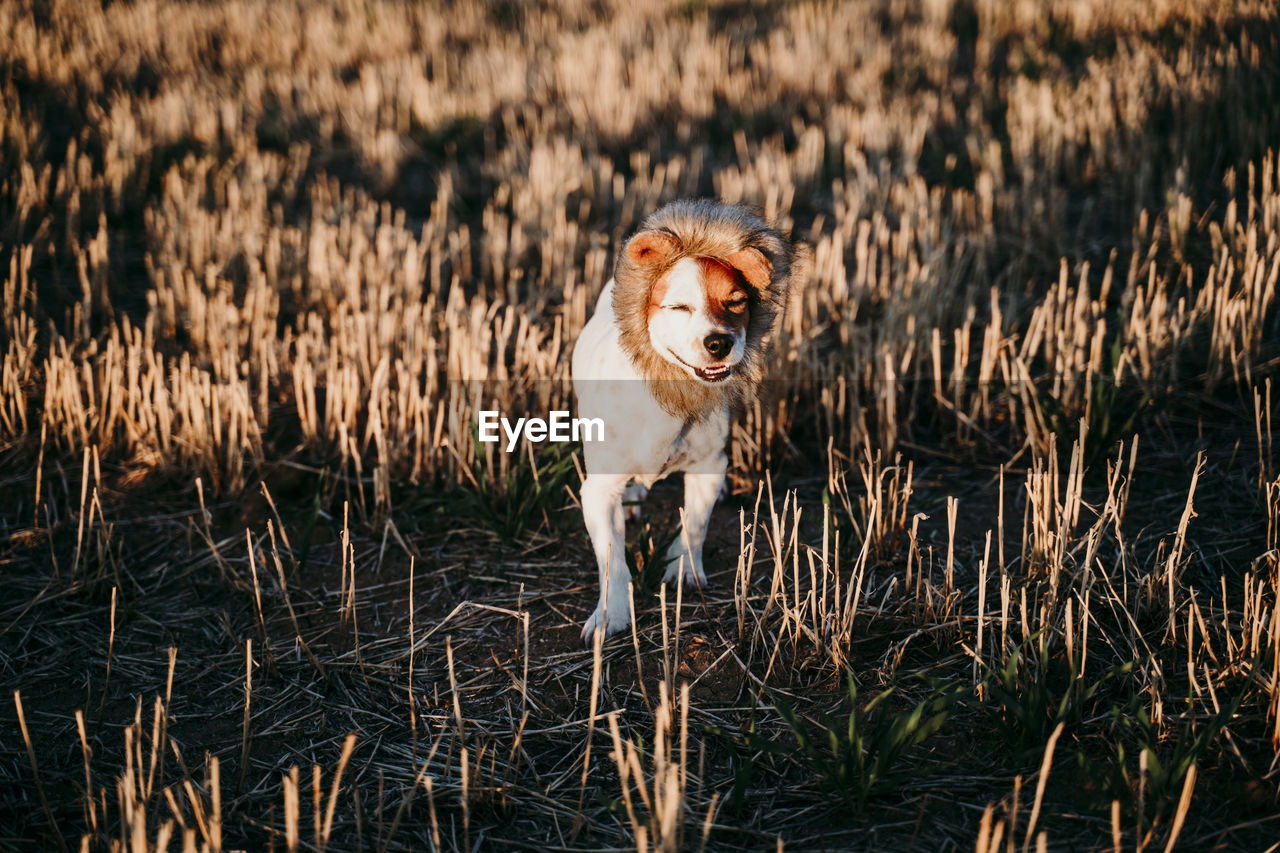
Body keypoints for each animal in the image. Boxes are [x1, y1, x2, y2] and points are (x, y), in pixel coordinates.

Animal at [573, 199, 793, 637]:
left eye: (737, 301)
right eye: (678, 306)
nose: (719, 342)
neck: (666, 392)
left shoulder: (709, 465)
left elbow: (694, 523)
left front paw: (685, 570)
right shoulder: (598, 490)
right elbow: (612, 560)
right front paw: (611, 614)